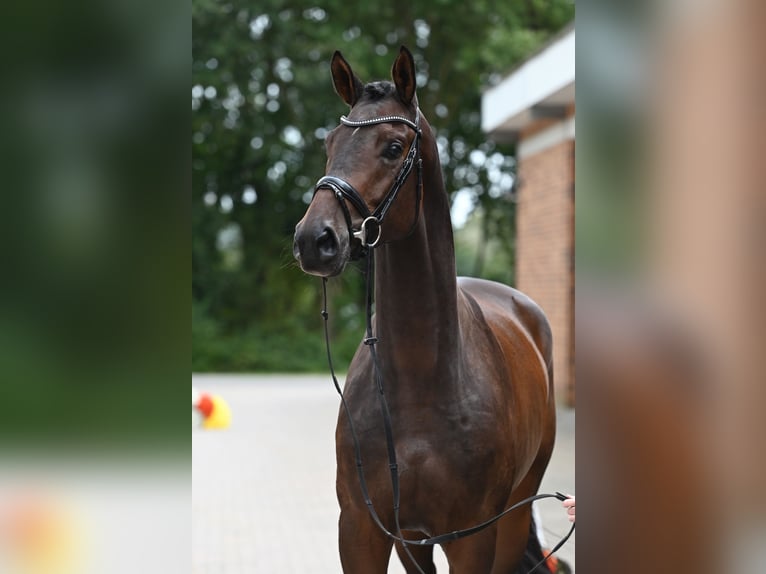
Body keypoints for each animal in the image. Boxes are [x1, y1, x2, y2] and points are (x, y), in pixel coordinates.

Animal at [294, 47, 560, 572]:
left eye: (394, 147)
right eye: (330, 143)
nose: (315, 239)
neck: (418, 383)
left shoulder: (473, 538)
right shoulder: (364, 530)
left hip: (517, 511)